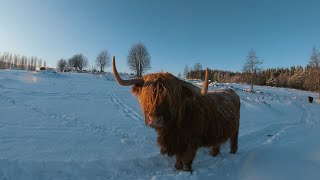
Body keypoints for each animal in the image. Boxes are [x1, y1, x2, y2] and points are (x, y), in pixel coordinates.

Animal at [112, 56, 240, 172]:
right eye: (147, 96)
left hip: (235, 128)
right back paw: (213, 154)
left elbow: (187, 161)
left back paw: (233, 153)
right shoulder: (177, 143)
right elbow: (178, 159)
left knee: (234, 141)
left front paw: (186, 171)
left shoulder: (191, 143)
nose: (154, 119)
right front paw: (177, 168)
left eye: (171, 98)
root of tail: (231, 91)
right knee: (217, 143)